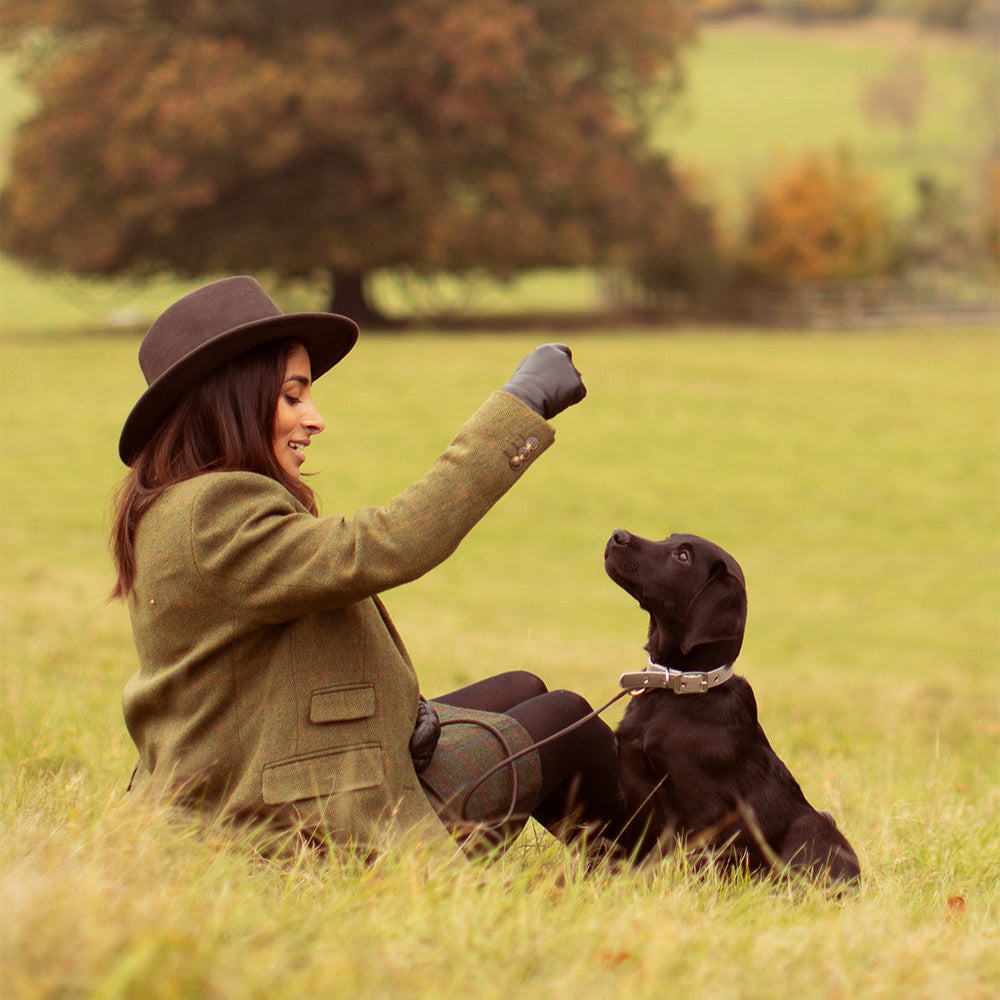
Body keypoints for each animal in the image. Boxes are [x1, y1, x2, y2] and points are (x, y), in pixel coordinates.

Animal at [600, 532, 860, 884]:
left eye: (683, 556)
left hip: (811, 824)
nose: (618, 535)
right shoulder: (632, 790)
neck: (679, 686)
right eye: (669, 539)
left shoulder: (703, 812)